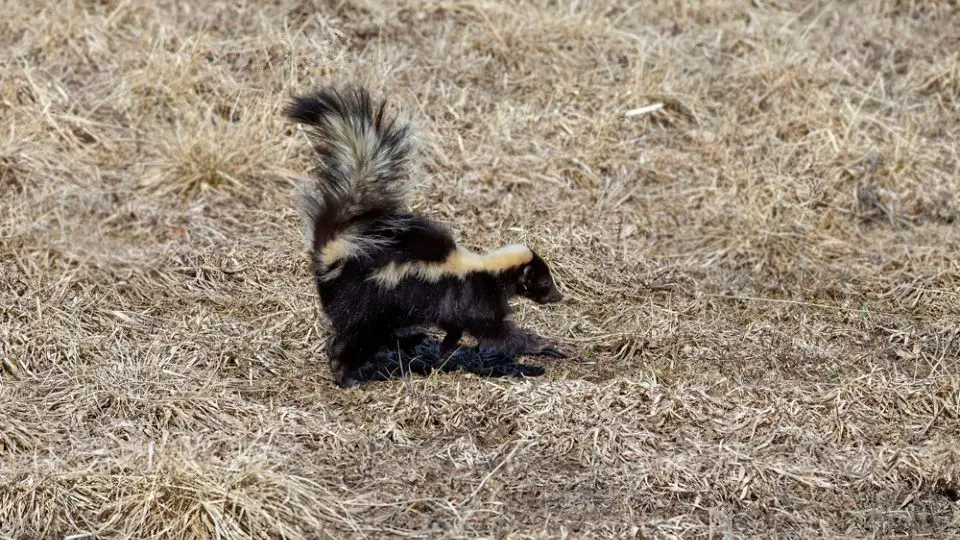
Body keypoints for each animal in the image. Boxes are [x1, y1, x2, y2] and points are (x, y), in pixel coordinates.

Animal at [284, 86, 564, 386]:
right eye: (544, 282)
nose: (559, 296)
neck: (487, 270)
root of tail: (335, 254)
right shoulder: (475, 297)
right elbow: (496, 332)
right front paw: (544, 346)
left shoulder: (456, 305)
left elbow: (454, 328)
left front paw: (444, 350)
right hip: (369, 305)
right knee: (356, 338)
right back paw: (344, 373)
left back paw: (405, 342)